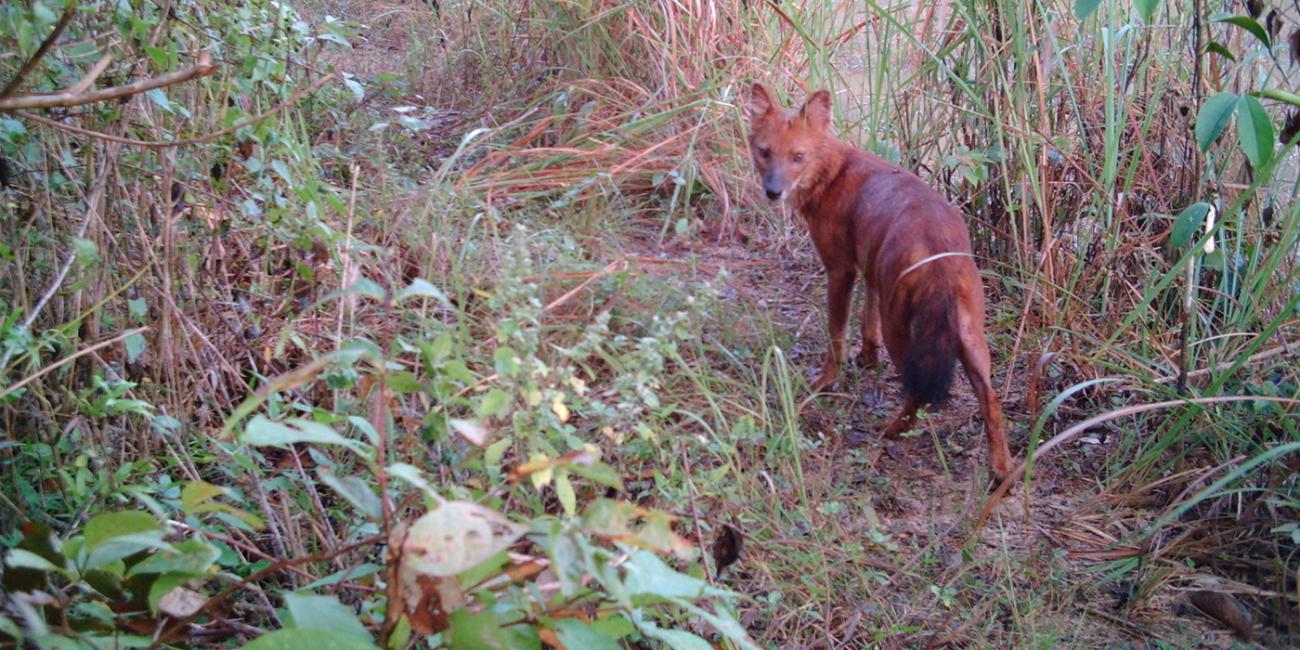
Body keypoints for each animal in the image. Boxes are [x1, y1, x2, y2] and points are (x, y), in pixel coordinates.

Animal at [748, 83, 1008, 480]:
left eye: (797, 156)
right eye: (765, 152)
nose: (773, 191)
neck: (832, 173)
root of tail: (940, 250)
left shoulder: (840, 268)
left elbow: (837, 331)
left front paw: (826, 380)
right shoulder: (870, 268)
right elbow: (865, 317)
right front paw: (867, 357)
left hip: (901, 327)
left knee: (918, 391)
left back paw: (894, 430)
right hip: (969, 333)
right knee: (992, 400)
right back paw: (1001, 470)